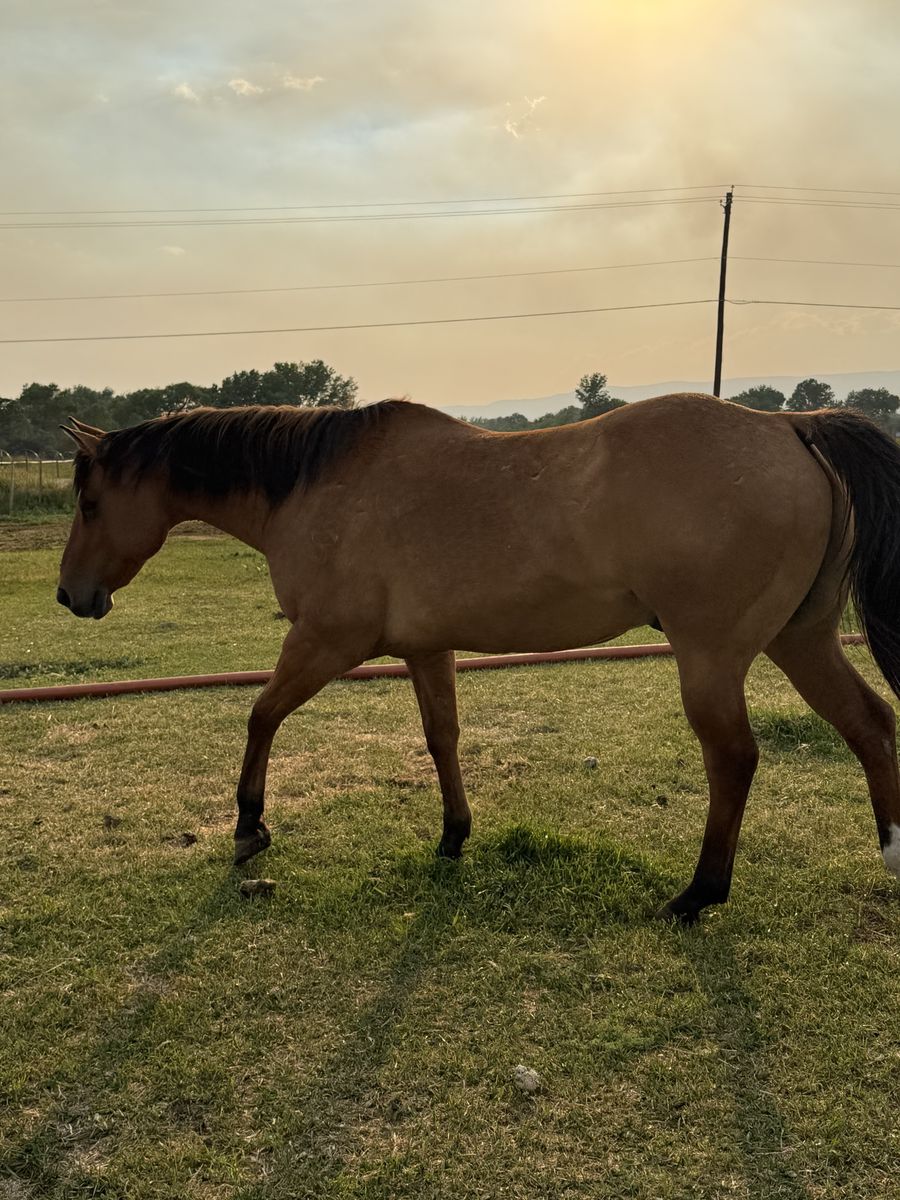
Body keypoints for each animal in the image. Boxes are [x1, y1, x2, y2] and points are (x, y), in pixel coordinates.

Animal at [57, 393, 900, 923]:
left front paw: (249, 826)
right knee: (870, 725)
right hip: (801, 640)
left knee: (734, 760)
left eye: (90, 502)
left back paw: (699, 894)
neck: (316, 484)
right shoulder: (426, 650)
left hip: (712, 657)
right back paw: (890, 854)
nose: (71, 595)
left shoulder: (324, 642)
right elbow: (442, 740)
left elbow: (261, 715)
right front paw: (454, 834)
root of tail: (790, 426)